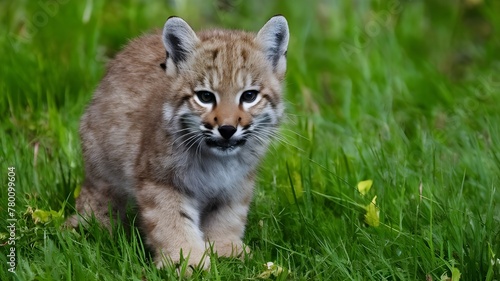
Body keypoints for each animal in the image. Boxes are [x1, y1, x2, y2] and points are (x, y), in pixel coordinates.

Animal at [76, 15, 292, 270]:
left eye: (249, 96)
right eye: (205, 97)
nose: (227, 129)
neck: (219, 161)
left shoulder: (237, 182)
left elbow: (228, 215)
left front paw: (226, 250)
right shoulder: (160, 180)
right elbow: (171, 220)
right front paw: (186, 260)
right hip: (103, 162)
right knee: (100, 196)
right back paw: (90, 229)